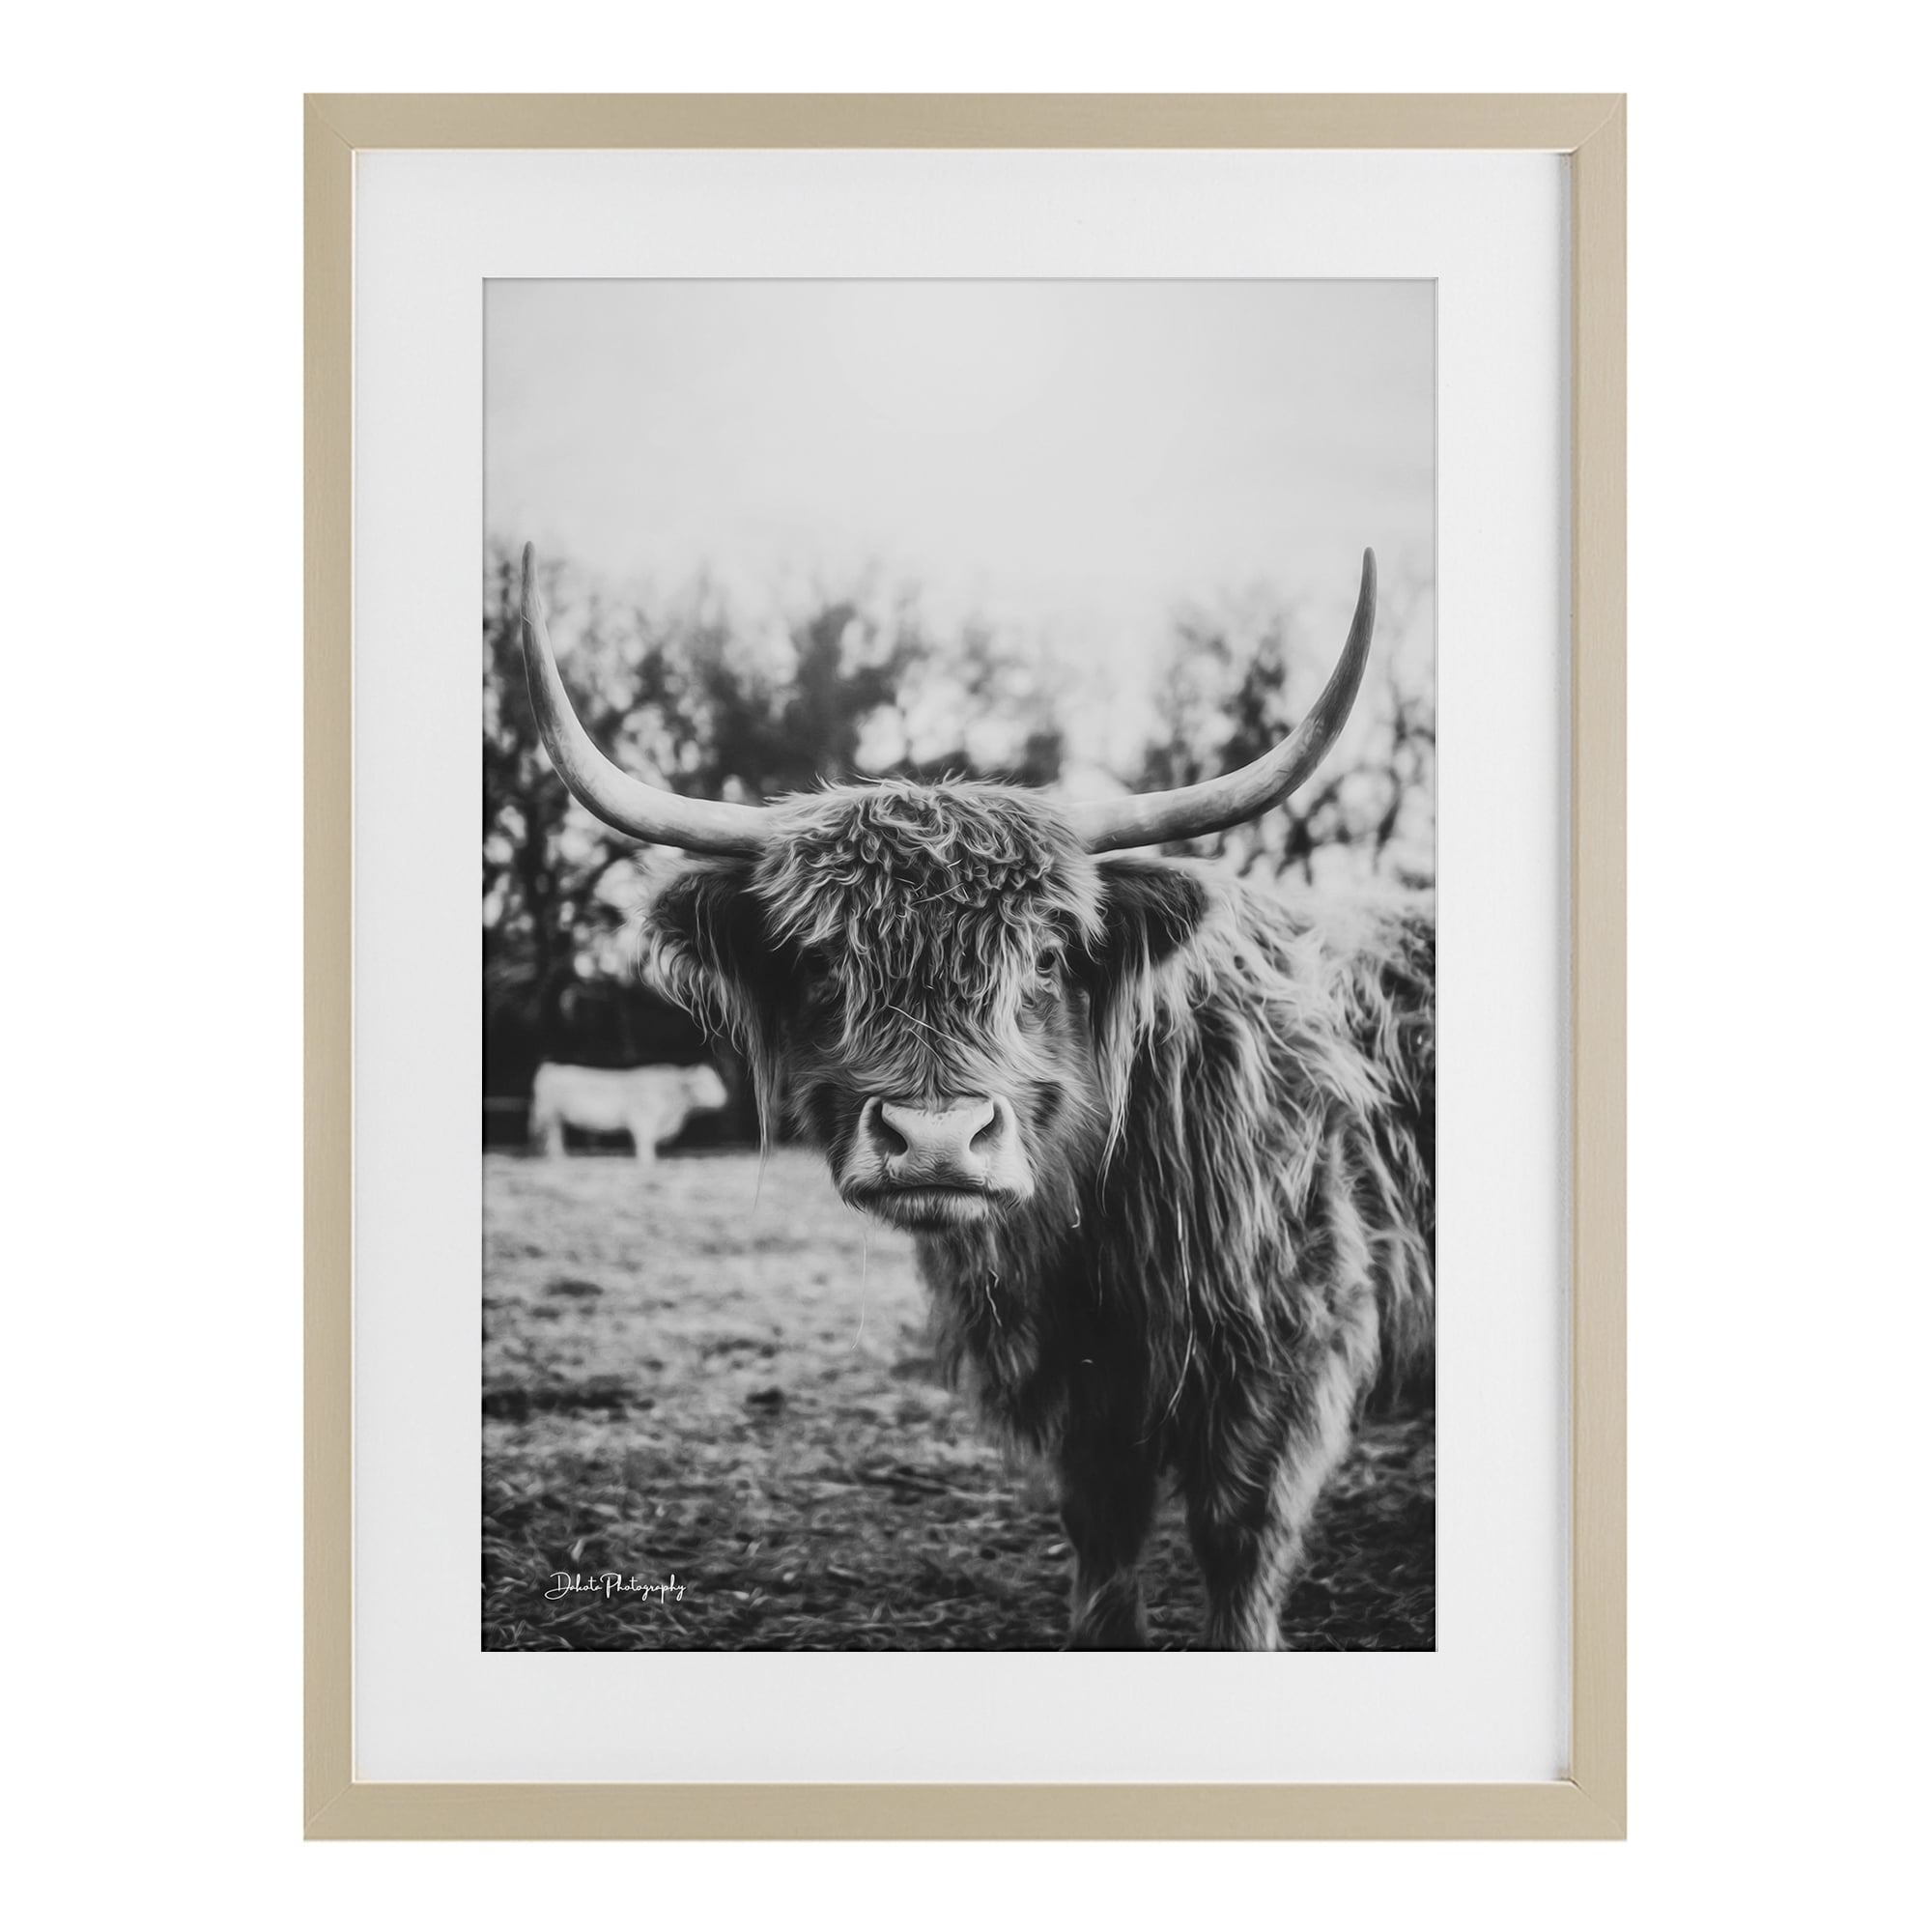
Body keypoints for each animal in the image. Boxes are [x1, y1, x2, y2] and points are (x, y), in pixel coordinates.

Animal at [527, 1060, 728, 1164]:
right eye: (704, 1084)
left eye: (716, 1080)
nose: (725, 1097)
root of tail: (550, 1067)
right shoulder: (643, 1121)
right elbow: (644, 1144)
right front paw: (647, 1163)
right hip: (550, 1115)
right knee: (553, 1137)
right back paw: (559, 1159)